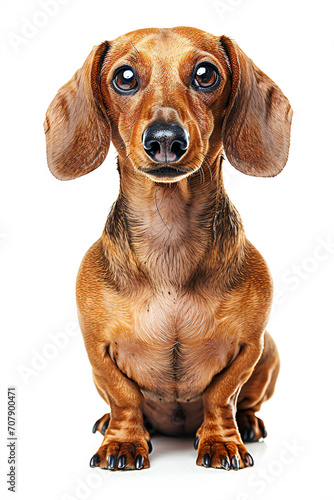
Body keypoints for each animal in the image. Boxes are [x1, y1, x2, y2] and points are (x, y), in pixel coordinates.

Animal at [43, 27, 292, 470]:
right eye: (124, 77)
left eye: (206, 74)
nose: (165, 139)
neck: (169, 236)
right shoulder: (97, 348)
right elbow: (124, 397)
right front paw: (123, 441)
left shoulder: (251, 345)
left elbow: (221, 395)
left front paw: (221, 441)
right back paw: (108, 423)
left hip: (271, 354)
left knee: (245, 403)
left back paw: (247, 424)